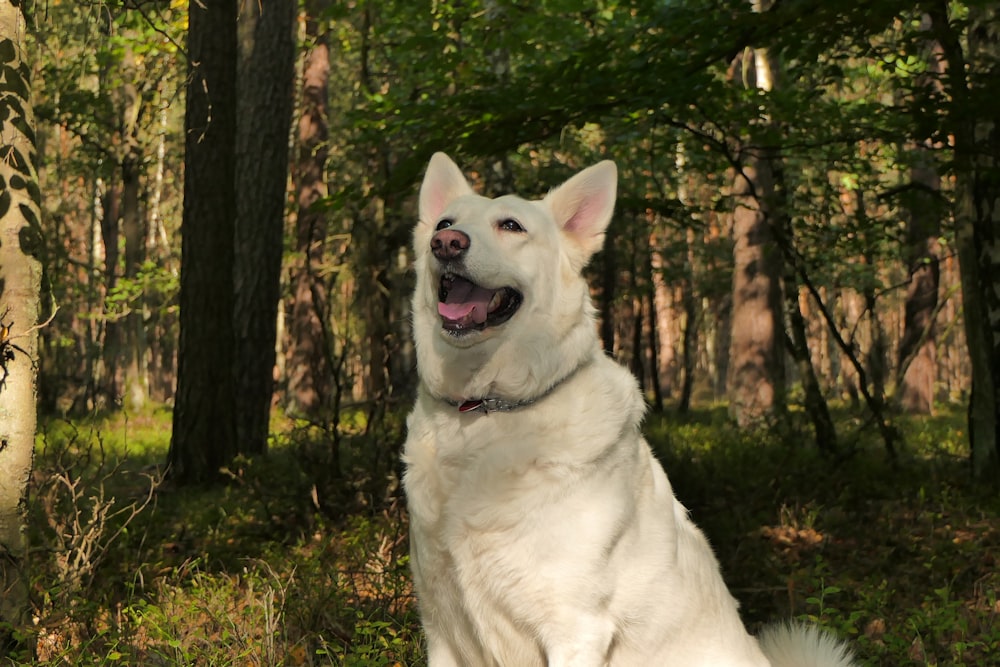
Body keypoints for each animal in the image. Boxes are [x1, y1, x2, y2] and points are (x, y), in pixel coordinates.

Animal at [402, 153, 856, 667]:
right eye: (444, 223)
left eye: (511, 225)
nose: (446, 243)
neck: (486, 410)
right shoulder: (443, 632)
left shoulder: (575, 630)